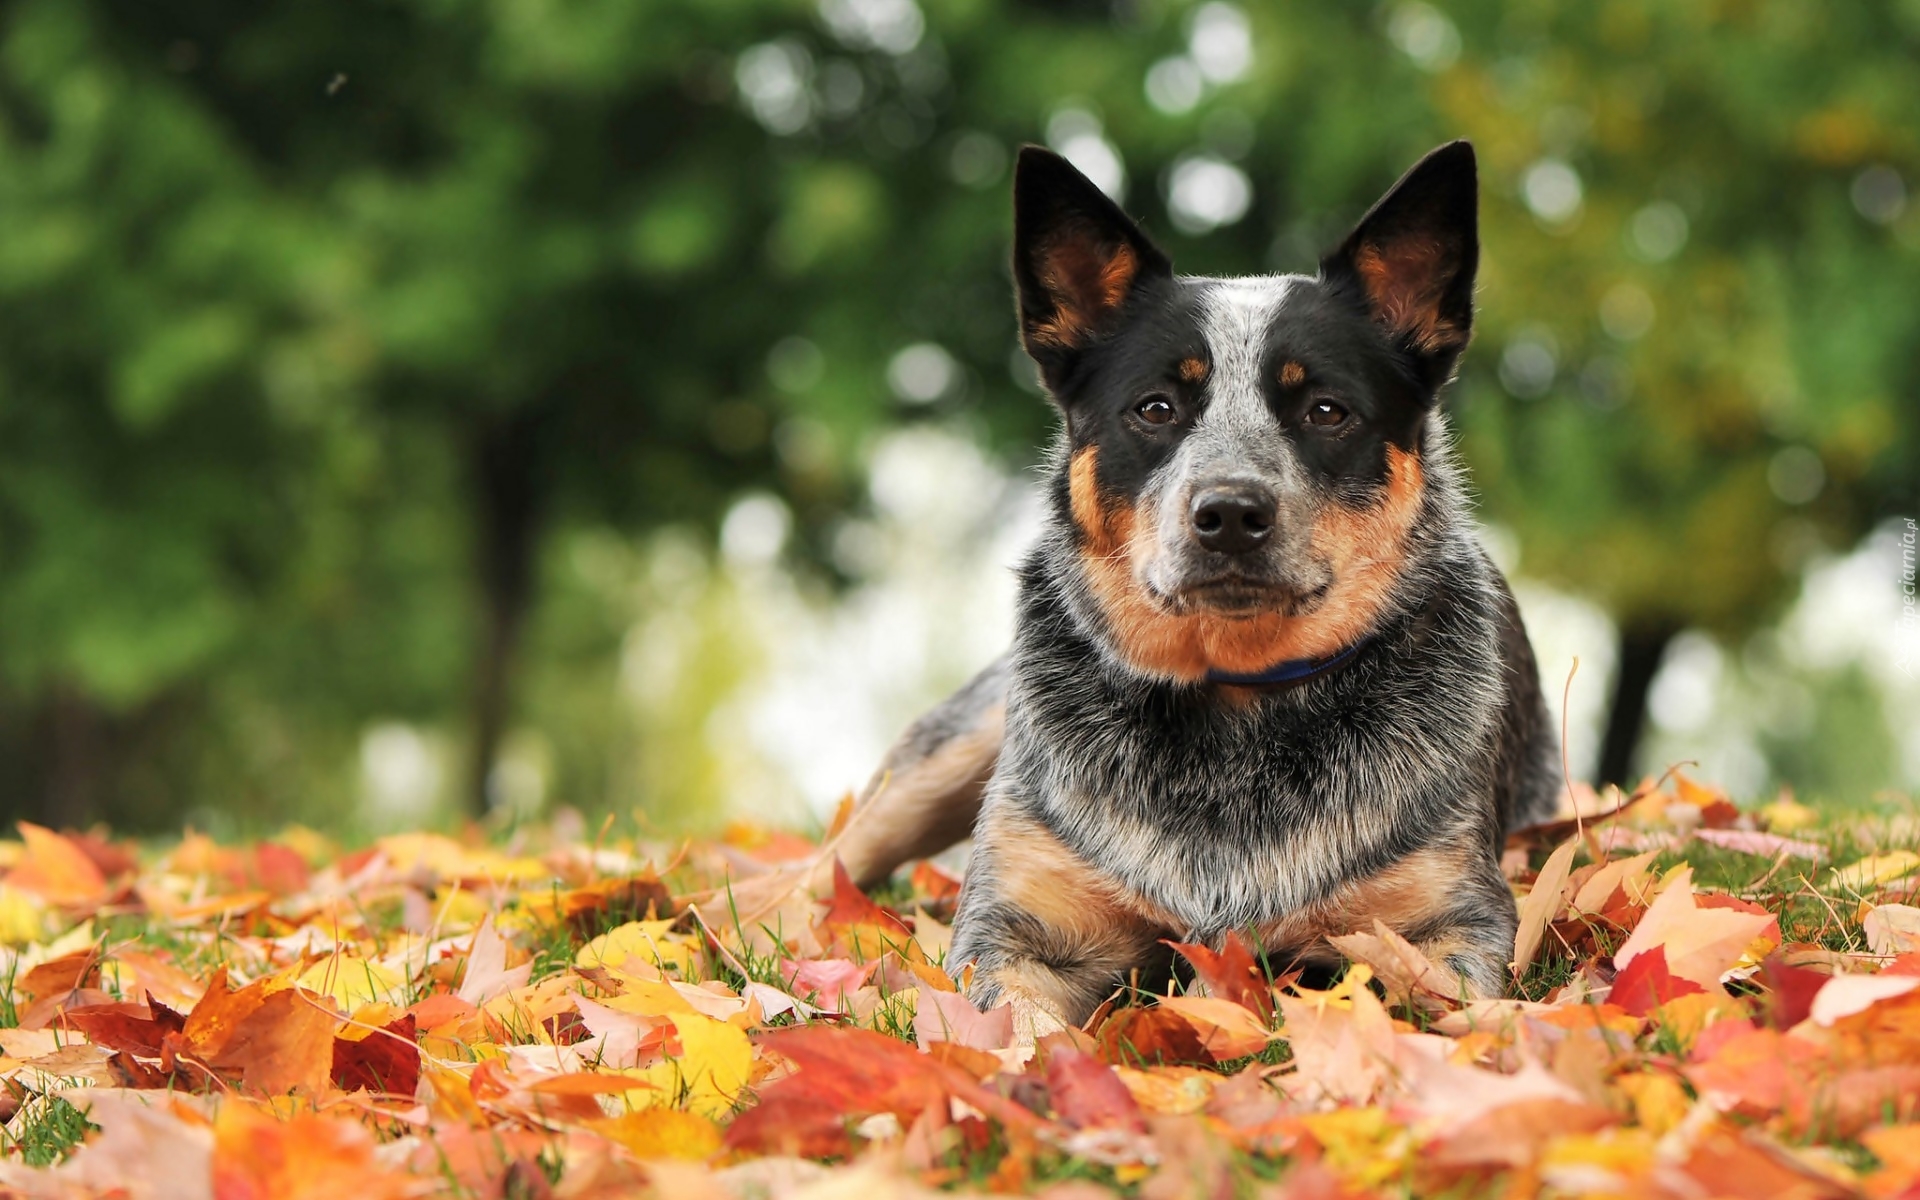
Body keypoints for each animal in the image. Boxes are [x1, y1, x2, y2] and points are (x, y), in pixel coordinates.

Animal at [829, 140, 1559, 1036]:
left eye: (1326, 410)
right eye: (1155, 407)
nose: (1231, 512)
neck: (1233, 706)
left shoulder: (1447, 922)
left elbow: (1447, 1011)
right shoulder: (1019, 929)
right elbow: (1015, 1032)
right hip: (953, 749)